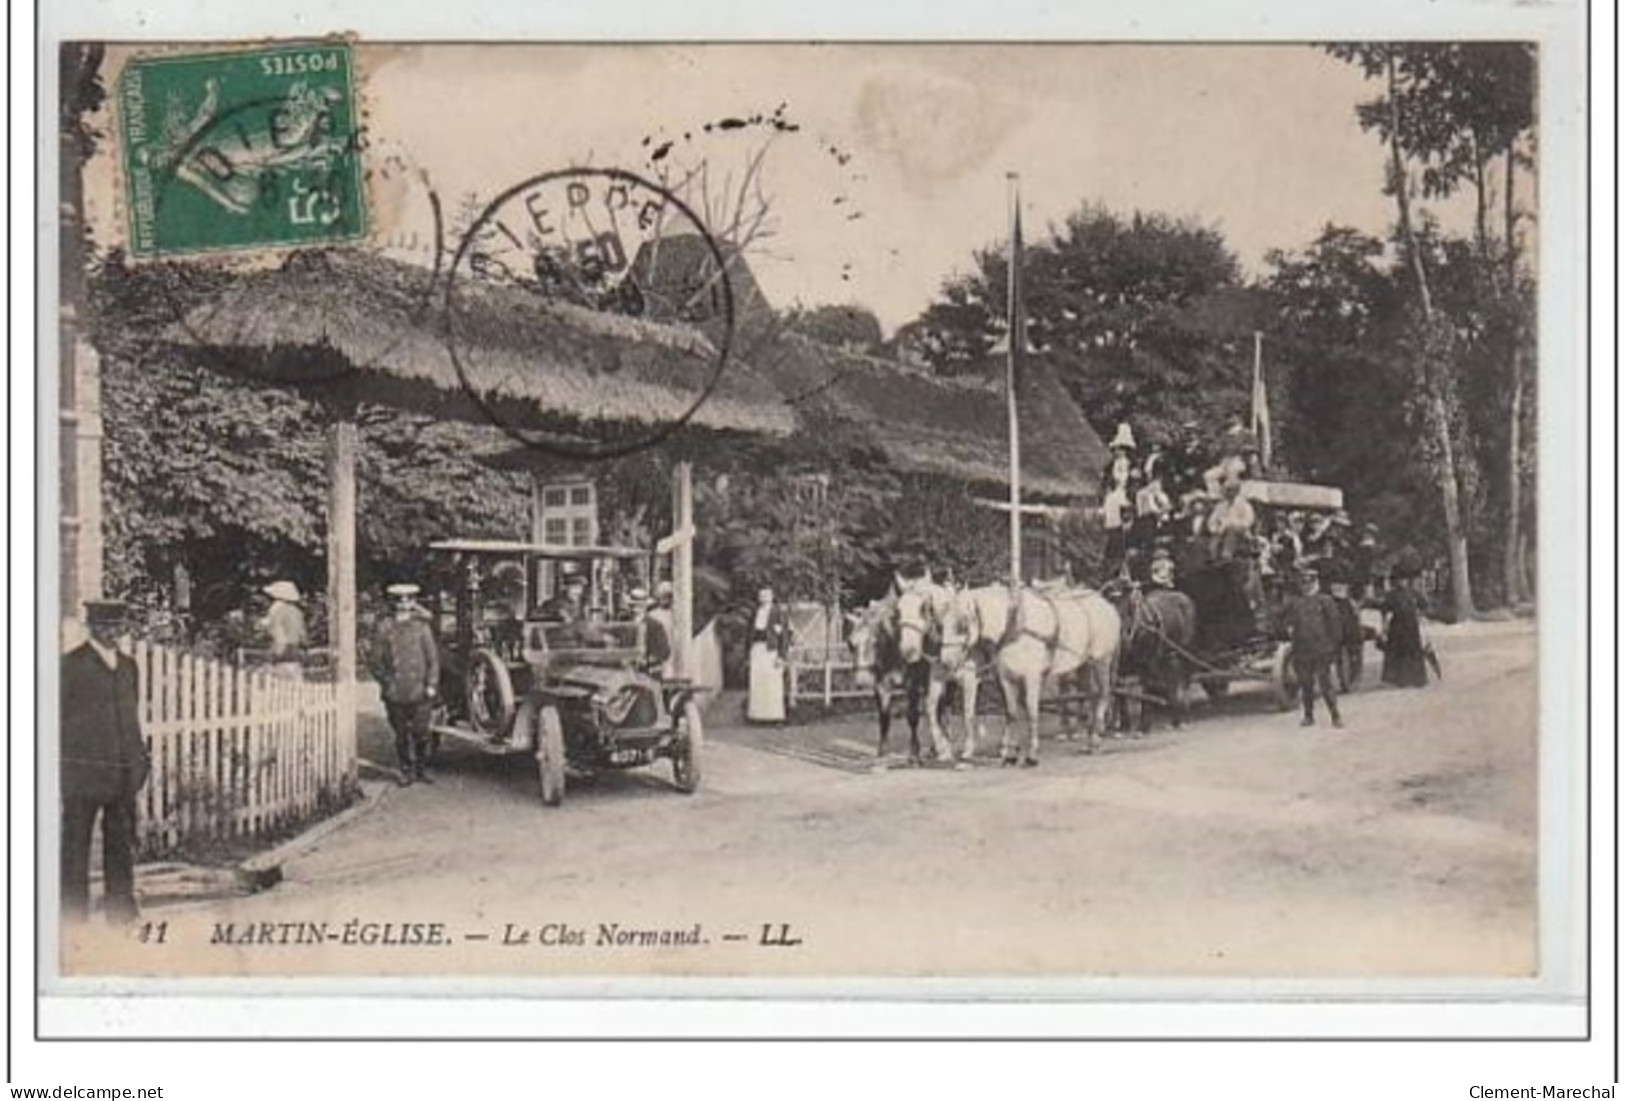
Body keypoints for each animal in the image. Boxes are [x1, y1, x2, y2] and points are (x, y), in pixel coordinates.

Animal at [845, 594, 936, 766]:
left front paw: (914, 754)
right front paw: (882, 753)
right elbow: (884, 718)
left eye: (875, 642)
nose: (863, 680)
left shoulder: (912, 685)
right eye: (851, 644)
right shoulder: (881, 687)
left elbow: (912, 717)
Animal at [1111, 587, 1202, 734]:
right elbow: (1120, 691)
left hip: (1184, 651)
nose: (1122, 639)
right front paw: (1124, 725)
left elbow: (1147, 687)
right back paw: (1175, 716)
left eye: (1129, 612)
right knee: (1173, 682)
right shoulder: (1121, 667)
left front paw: (1143, 726)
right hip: (1169, 656)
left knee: (1183, 680)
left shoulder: (1148, 661)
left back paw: (1183, 717)